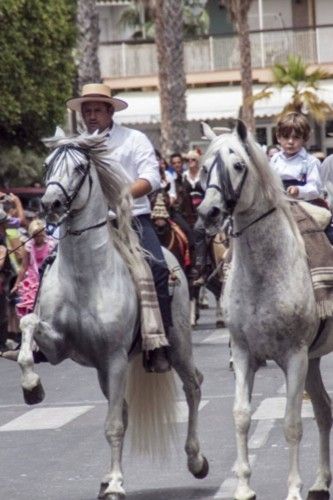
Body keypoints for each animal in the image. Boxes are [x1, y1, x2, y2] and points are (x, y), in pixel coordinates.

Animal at [16, 130, 208, 500]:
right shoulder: (59, 348)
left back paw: (196, 460)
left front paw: (118, 484)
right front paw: (32, 386)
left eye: (79, 168)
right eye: (47, 165)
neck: (84, 275)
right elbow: (27, 323)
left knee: (193, 387)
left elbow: (114, 425)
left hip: (177, 347)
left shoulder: (115, 357)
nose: (50, 204)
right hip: (105, 371)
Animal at [197, 121, 332, 500]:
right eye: (204, 167)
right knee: (324, 411)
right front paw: (244, 486)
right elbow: (242, 415)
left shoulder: (295, 356)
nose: (208, 213)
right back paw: (320, 481)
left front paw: (293, 489)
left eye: (238, 165)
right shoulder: (244, 353)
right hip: (315, 359)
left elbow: (291, 423)